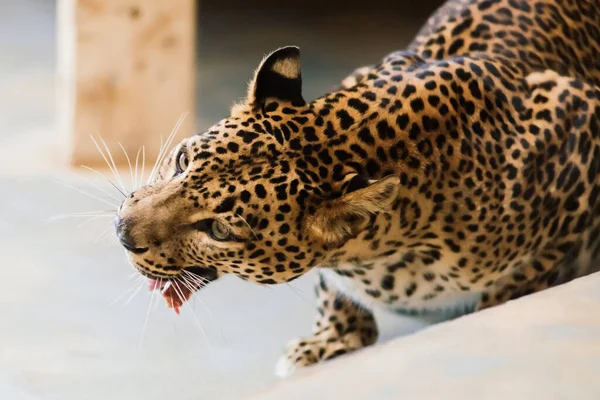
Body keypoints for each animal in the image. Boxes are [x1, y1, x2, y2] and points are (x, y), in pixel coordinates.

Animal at [113, 0, 600, 378]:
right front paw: (333, 340)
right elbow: (334, 292)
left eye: (219, 230)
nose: (122, 232)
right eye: (181, 161)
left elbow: (523, 279)